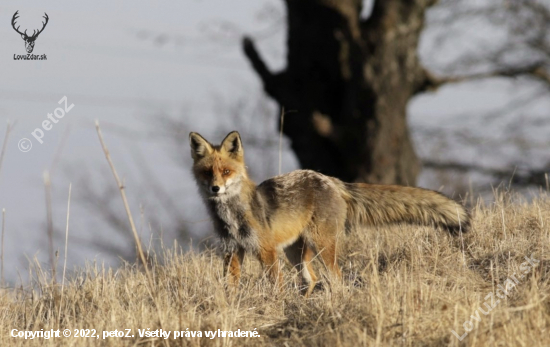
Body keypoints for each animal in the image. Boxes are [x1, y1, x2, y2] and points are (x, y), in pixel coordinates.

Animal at [190, 130, 470, 296]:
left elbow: (275, 285)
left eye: (226, 172)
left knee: (336, 277)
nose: (215, 188)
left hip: (321, 246)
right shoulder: (231, 250)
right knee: (312, 278)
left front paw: (276, 305)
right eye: (207, 173)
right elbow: (230, 285)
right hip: (296, 252)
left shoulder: (266, 250)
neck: (232, 217)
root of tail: (331, 180)